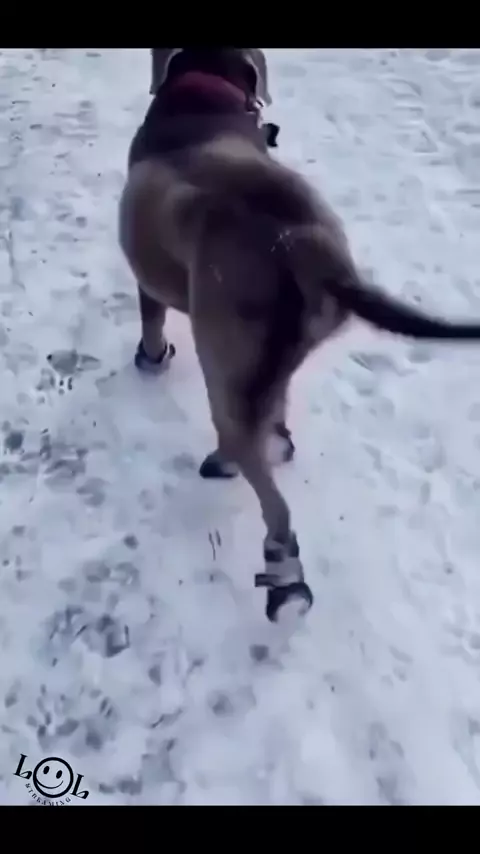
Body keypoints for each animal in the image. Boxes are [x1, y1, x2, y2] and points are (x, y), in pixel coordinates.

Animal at [119, 48, 480, 621]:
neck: (203, 99)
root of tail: (306, 246)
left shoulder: (149, 282)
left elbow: (150, 323)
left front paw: (149, 360)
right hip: (275, 351)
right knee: (269, 421)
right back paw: (267, 447)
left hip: (223, 359)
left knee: (268, 493)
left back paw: (283, 572)